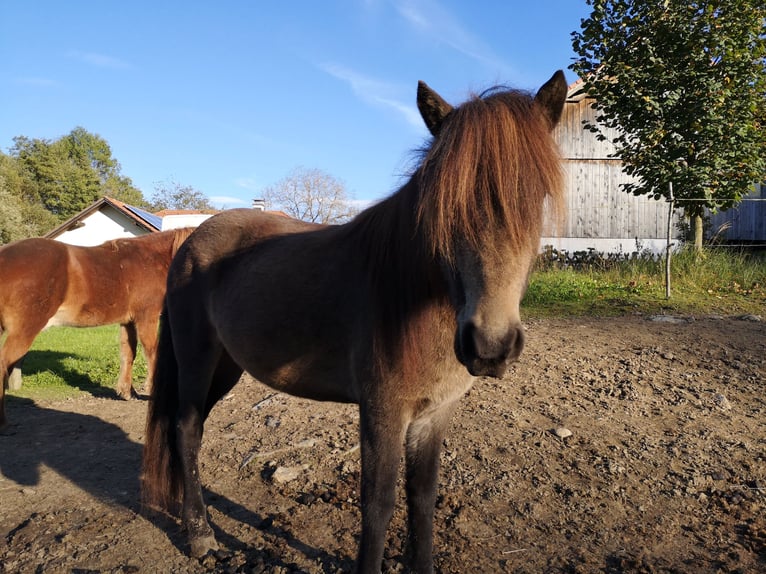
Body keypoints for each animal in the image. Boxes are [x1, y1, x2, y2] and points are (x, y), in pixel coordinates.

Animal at [0, 227, 195, 430]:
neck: (151, 260)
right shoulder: (146, 317)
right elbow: (151, 353)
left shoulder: (128, 321)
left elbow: (128, 354)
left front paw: (127, 391)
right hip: (25, 330)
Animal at [141, 72, 568, 574]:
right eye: (444, 205)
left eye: (537, 197)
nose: (490, 345)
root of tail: (190, 239)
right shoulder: (382, 411)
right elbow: (378, 503)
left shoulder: (435, 414)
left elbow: (422, 498)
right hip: (197, 357)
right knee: (185, 429)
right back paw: (201, 536)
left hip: (227, 366)